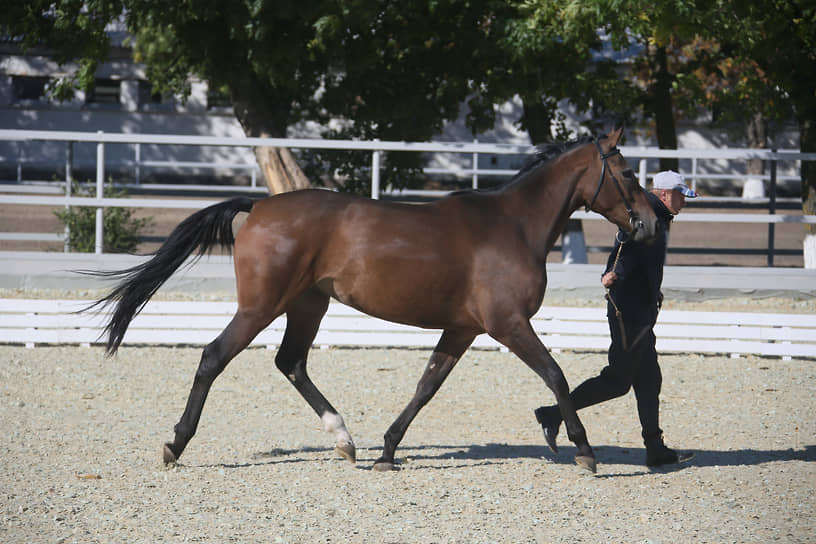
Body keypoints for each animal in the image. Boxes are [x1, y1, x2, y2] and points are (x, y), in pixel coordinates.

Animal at [86, 127, 656, 472]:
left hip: (308, 305)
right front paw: (584, 450)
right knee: (214, 357)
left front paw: (387, 449)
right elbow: (555, 374)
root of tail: (260, 206)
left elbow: (427, 386)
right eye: (629, 174)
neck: (512, 225)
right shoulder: (507, 323)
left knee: (291, 362)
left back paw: (346, 441)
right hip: (262, 306)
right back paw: (176, 443)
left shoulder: (463, 328)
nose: (650, 223)